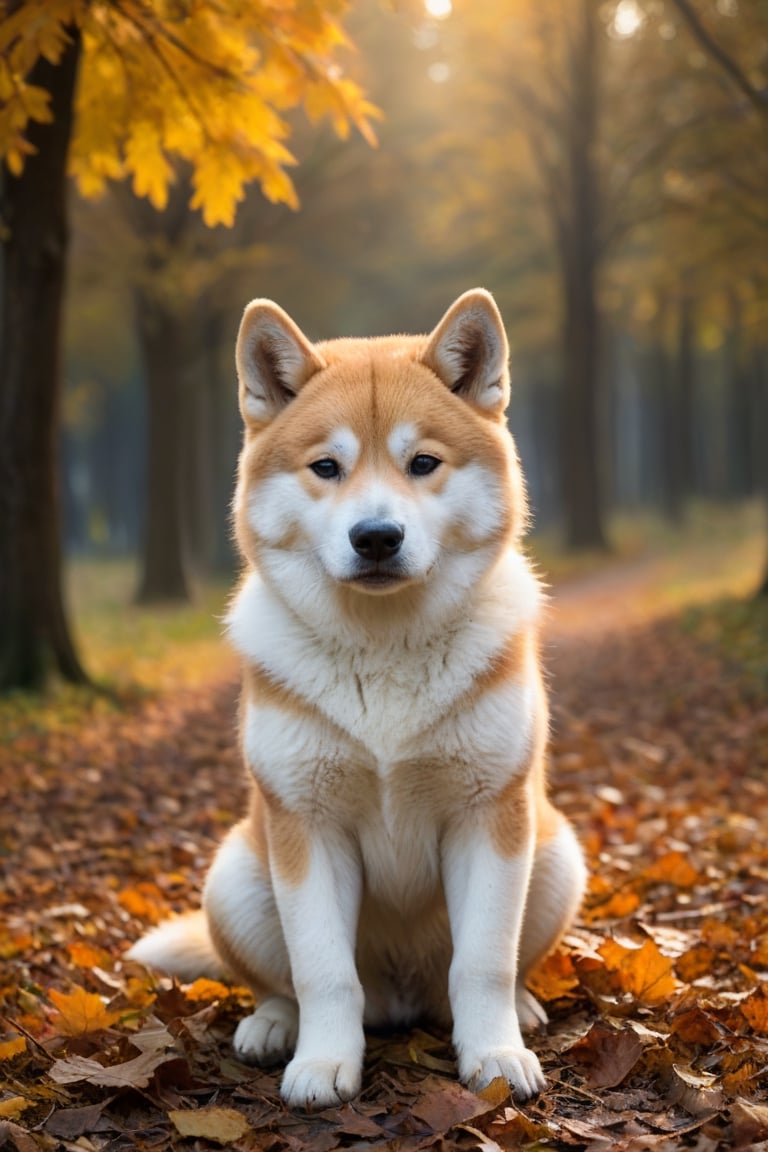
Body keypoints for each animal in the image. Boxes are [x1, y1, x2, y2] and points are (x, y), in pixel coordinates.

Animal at [130, 285, 589, 1105]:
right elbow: (322, 974)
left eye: (423, 463)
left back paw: (523, 1011)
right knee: (280, 983)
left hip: (555, 854)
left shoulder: (490, 818)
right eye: (326, 467)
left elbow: (484, 962)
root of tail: (402, 996)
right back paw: (272, 1028)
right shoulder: (307, 828)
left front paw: (494, 1056)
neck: (383, 655)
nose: (376, 535)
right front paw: (322, 1065)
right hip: (237, 877)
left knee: (484, 973)